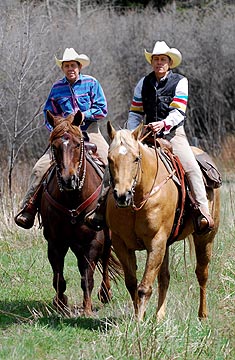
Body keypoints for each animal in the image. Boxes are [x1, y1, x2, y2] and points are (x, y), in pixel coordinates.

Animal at [40, 110, 119, 316]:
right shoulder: (55, 242)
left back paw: (105, 293)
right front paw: (60, 303)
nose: (69, 180)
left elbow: (87, 278)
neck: (72, 199)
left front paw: (87, 309)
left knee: (105, 260)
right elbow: (58, 277)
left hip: (105, 239)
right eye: (54, 146)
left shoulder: (92, 242)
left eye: (77, 144)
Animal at [106, 121, 220, 320]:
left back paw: (202, 315)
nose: (122, 196)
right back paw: (159, 316)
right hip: (167, 245)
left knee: (202, 273)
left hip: (206, 237)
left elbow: (144, 287)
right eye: (109, 158)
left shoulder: (156, 241)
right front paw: (139, 316)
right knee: (164, 277)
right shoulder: (121, 244)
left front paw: (139, 322)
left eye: (136, 158)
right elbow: (132, 283)